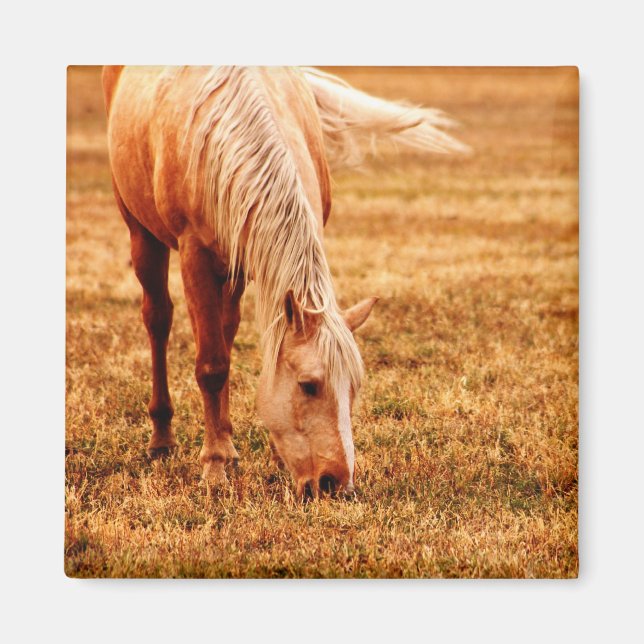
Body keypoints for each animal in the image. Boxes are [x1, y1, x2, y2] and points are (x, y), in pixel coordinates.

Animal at [103, 66, 467, 499]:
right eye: (308, 385)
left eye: (354, 388)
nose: (336, 484)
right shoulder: (195, 256)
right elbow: (212, 365)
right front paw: (214, 466)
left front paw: (261, 456)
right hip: (140, 229)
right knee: (158, 319)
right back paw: (162, 439)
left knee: (225, 327)